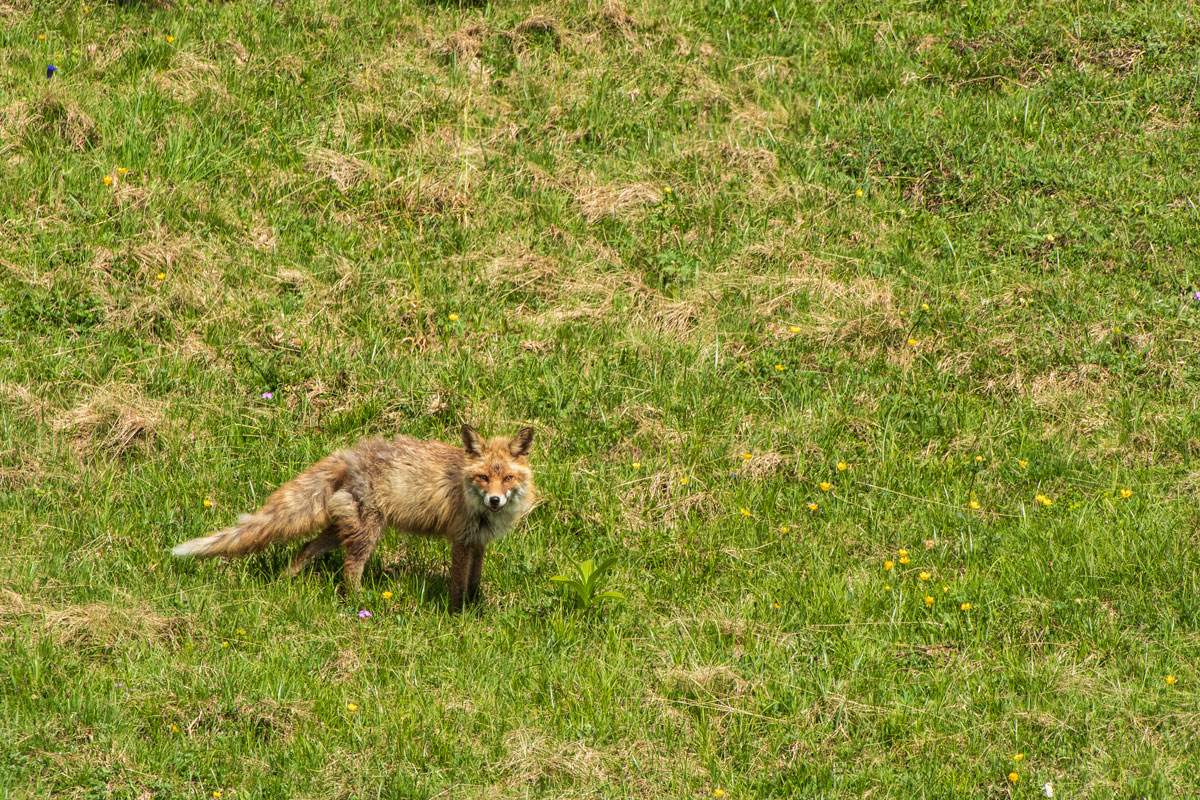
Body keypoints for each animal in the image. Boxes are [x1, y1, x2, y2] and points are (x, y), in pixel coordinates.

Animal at [171, 424, 537, 614]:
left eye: (507, 479)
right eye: (482, 477)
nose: (494, 500)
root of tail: (350, 454)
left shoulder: (478, 544)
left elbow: (474, 581)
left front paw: (475, 608)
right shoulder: (461, 540)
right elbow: (459, 584)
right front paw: (457, 614)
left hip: (341, 529)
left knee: (304, 548)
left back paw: (285, 582)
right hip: (367, 532)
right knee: (349, 569)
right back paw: (360, 603)